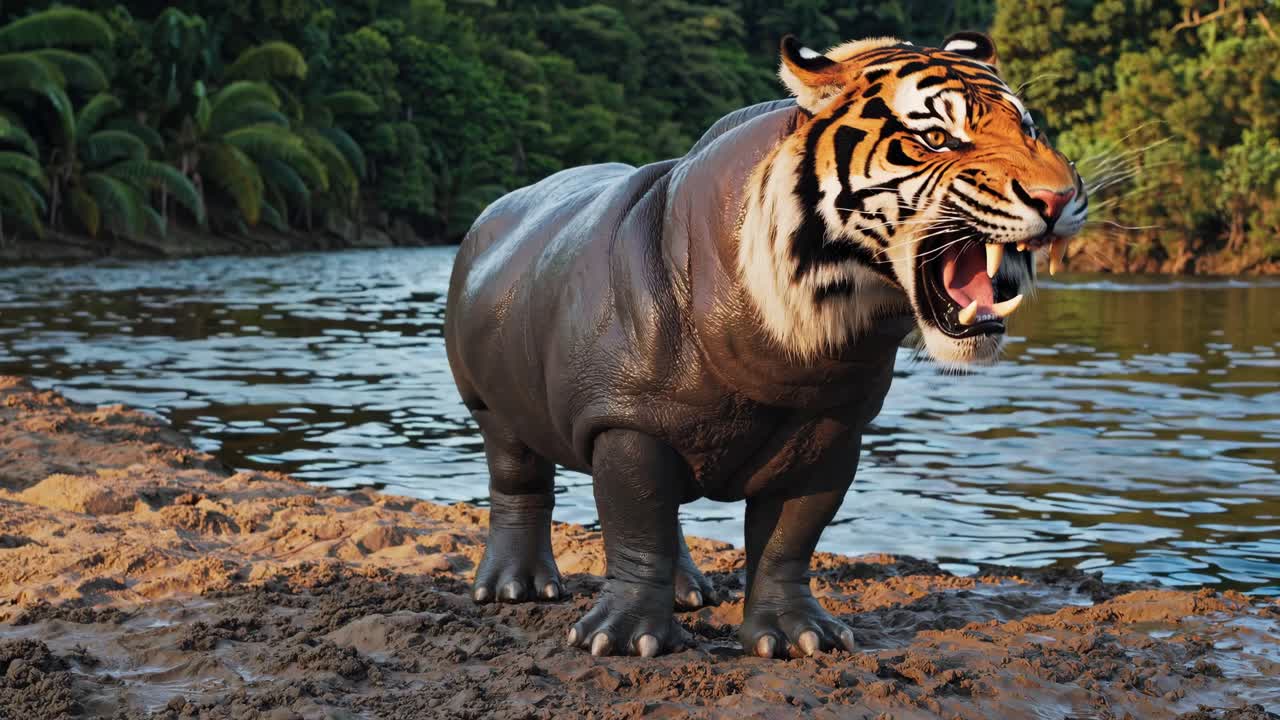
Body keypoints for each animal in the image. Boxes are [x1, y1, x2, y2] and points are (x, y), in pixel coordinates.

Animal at [445, 32, 1088, 659]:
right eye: (934, 137)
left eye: (1030, 128)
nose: (1058, 197)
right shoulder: (624, 421)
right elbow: (636, 525)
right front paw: (622, 643)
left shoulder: (832, 425)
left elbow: (789, 535)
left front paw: (805, 641)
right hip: (490, 405)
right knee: (520, 480)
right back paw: (516, 592)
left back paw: (690, 597)